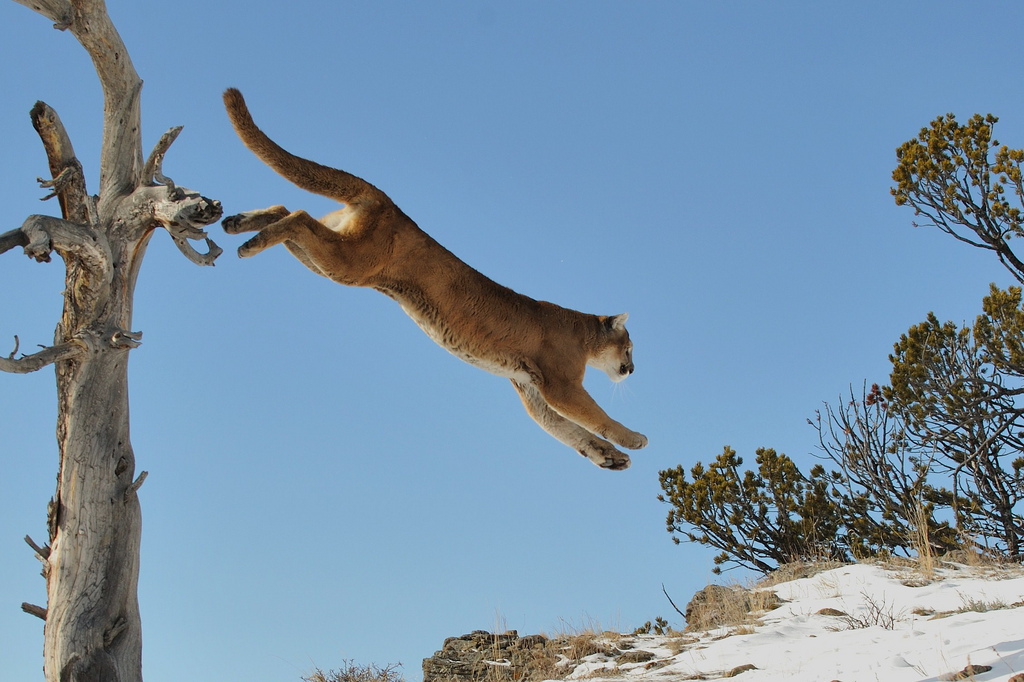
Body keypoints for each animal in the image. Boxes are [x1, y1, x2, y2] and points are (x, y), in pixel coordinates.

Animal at [222, 87, 647, 466]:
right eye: (628, 347)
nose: (632, 369)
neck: (582, 333)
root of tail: (387, 201)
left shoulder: (531, 390)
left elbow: (568, 431)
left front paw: (610, 457)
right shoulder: (560, 383)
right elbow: (593, 416)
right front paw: (633, 439)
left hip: (331, 256)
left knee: (287, 210)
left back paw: (239, 225)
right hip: (350, 262)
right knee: (298, 216)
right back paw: (250, 240)